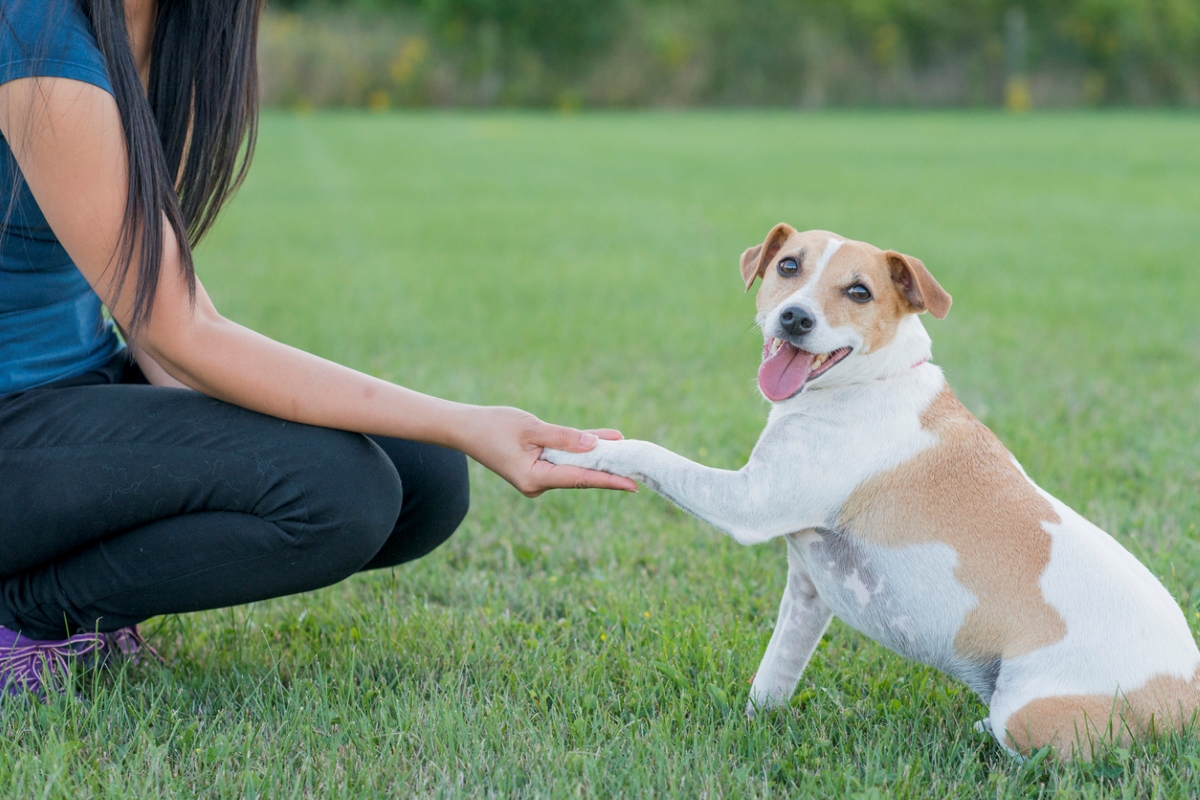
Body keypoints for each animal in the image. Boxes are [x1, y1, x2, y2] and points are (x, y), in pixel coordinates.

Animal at [547, 224, 1200, 758]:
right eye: (788, 266)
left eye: (859, 292)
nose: (796, 319)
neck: (867, 383)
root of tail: (1186, 701)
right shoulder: (808, 592)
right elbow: (775, 673)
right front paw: (756, 722)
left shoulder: (750, 502)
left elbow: (649, 453)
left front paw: (577, 448)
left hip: (1033, 712)